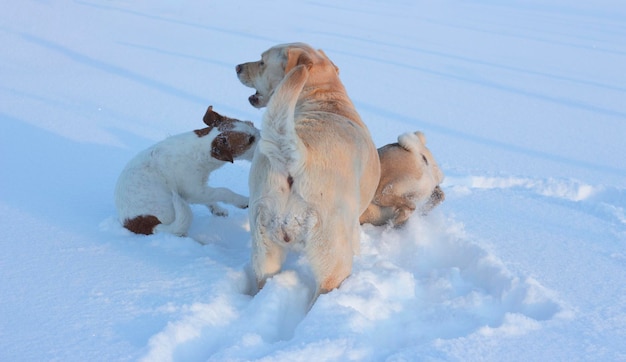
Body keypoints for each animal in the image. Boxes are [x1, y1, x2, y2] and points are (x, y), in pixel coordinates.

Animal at [114, 107, 258, 238]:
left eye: (252, 123)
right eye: (250, 140)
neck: (201, 147)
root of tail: (142, 224)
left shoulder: (197, 190)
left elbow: (211, 199)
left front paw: (218, 210)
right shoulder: (195, 191)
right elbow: (223, 191)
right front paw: (243, 200)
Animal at [235, 43, 378, 296]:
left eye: (261, 62)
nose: (237, 67)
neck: (323, 97)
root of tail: (293, 156)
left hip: (264, 244)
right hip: (333, 252)